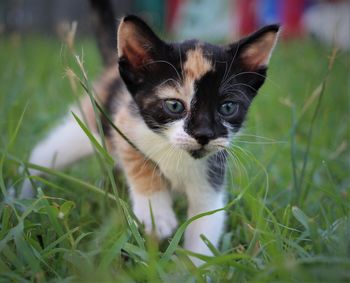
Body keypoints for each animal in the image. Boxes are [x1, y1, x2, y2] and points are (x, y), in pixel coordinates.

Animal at [21, 6, 278, 266]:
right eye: (174, 106)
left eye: (227, 108)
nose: (203, 134)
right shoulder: (124, 121)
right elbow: (138, 160)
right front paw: (157, 214)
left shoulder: (211, 178)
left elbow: (206, 222)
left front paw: (194, 268)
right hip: (89, 125)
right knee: (43, 153)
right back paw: (22, 196)